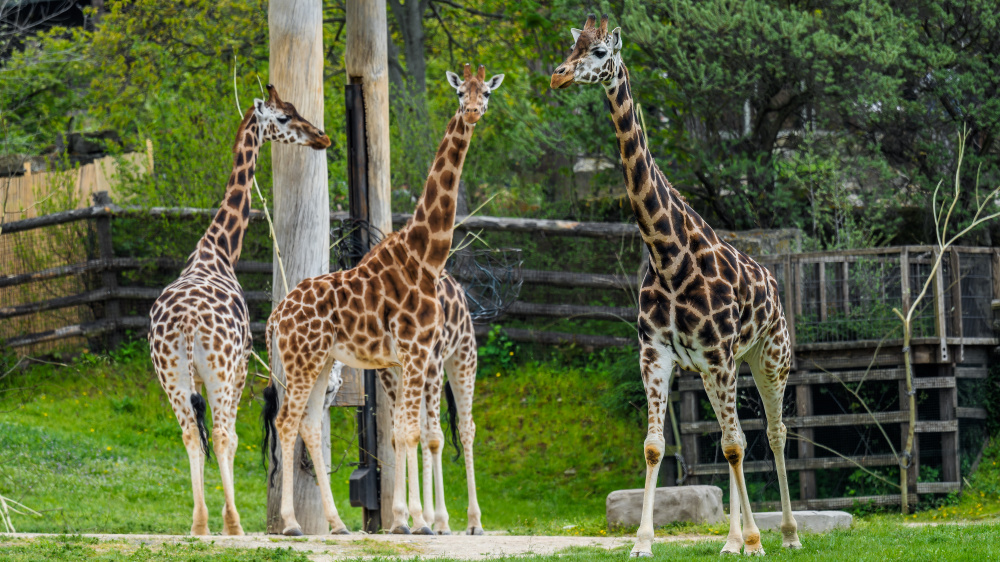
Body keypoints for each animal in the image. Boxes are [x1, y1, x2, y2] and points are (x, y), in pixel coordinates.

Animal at [150, 85, 328, 536]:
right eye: (283, 117)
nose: (321, 137)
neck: (219, 250)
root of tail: (186, 326)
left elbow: (201, 440)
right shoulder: (243, 365)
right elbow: (229, 439)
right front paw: (233, 522)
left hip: (171, 375)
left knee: (190, 435)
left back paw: (199, 525)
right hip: (221, 369)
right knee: (221, 433)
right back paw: (233, 523)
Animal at [376, 272, 484, 532]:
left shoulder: (433, 360)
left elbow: (435, 439)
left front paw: (439, 521)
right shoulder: (387, 370)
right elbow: (398, 435)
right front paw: (400, 520)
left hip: (463, 356)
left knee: (465, 429)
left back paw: (472, 522)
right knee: (422, 432)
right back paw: (429, 518)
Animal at [552, 13, 800, 556]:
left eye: (600, 53)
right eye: (570, 48)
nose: (558, 76)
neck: (667, 253)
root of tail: (775, 283)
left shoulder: (719, 356)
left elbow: (735, 445)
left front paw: (756, 541)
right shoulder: (657, 353)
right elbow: (656, 446)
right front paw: (643, 542)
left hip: (768, 357)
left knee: (772, 433)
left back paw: (786, 535)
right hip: (718, 369)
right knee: (736, 437)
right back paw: (732, 541)